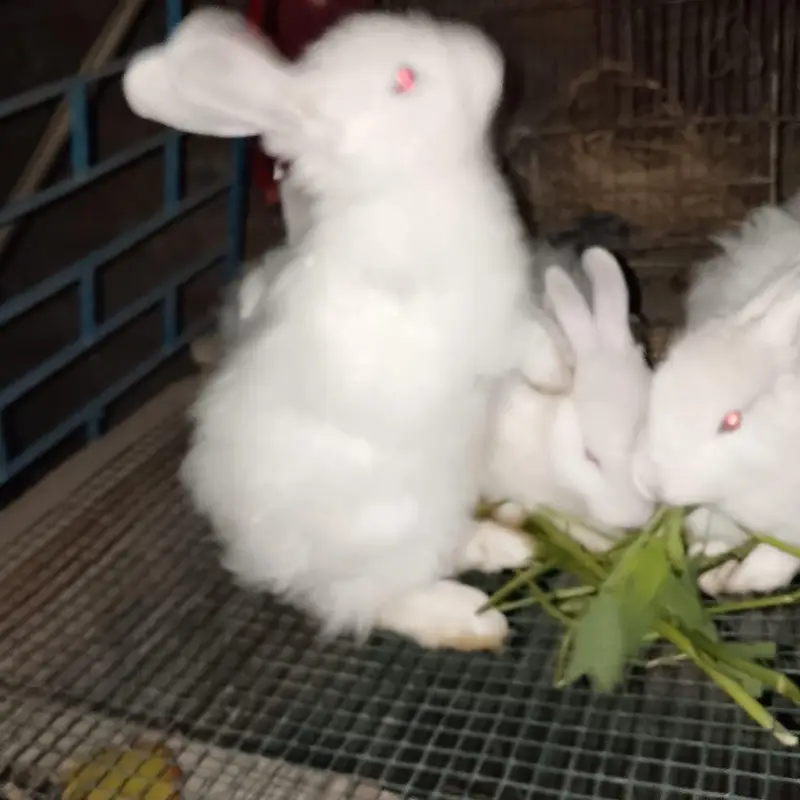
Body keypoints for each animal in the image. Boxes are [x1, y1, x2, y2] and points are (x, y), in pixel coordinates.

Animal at [123, 7, 569, 651]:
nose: (486, 54)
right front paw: (562, 373)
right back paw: (471, 619)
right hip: (399, 524)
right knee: (368, 601)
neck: (402, 185)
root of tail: (263, 560)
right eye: (404, 80)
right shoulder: (490, 322)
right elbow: (528, 343)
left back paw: (504, 542)